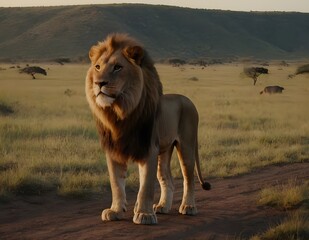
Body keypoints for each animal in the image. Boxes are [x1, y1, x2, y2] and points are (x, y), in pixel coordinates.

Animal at [84, 33, 209, 225]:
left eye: (118, 67)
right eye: (97, 67)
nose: (99, 83)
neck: (120, 113)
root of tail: (187, 99)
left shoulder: (148, 148)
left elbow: (146, 186)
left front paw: (144, 214)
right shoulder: (114, 151)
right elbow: (116, 184)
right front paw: (115, 210)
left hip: (186, 145)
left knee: (189, 178)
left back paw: (188, 207)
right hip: (164, 151)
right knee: (167, 179)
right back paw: (162, 206)